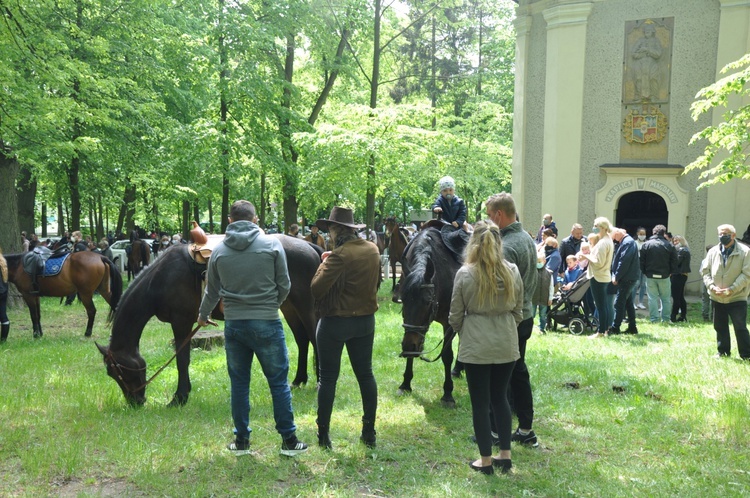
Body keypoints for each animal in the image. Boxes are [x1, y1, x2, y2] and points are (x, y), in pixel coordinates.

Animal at [95, 235, 322, 406]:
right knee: (302, 340)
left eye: (114, 371)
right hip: (289, 307)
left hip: (305, 306)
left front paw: (179, 397)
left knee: (314, 338)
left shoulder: (181, 322)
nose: (136, 401)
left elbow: (182, 360)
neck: (161, 278)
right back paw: (298, 380)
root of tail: (308, 246)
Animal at [396, 230, 462, 408]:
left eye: (427, 301)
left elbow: (447, 356)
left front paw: (448, 393)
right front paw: (405, 384)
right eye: (403, 299)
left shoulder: (449, 323)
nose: (409, 345)